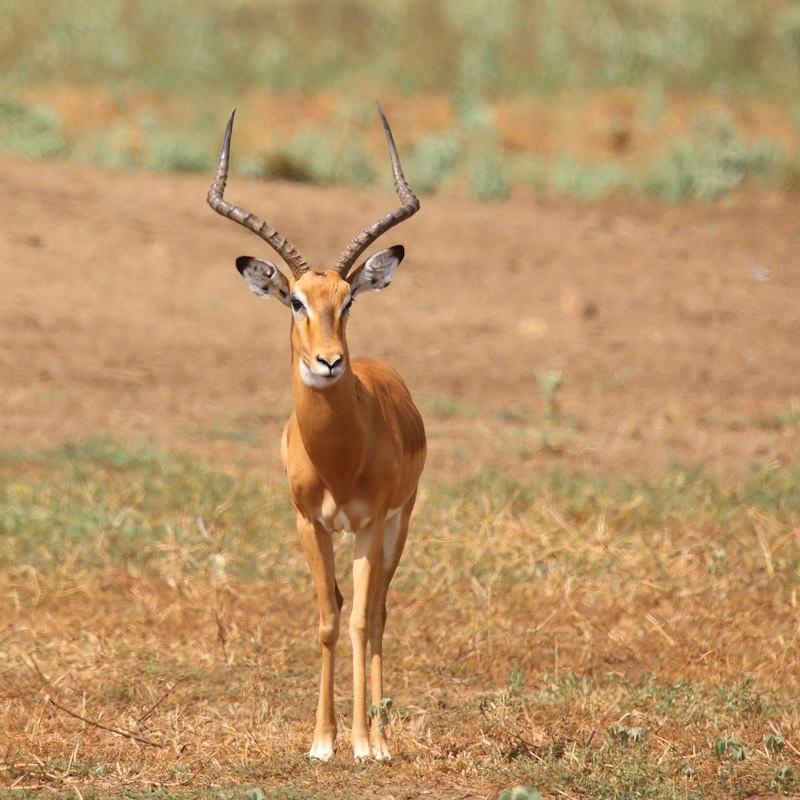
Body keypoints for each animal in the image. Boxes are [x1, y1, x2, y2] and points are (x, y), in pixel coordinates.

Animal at [207, 105, 425, 761]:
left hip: (399, 526)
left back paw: (381, 739)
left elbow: (357, 622)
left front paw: (361, 744)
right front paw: (322, 742)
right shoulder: (310, 523)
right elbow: (328, 619)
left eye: (348, 299)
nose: (330, 361)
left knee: (378, 613)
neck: (337, 458)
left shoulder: (369, 522)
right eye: (296, 301)